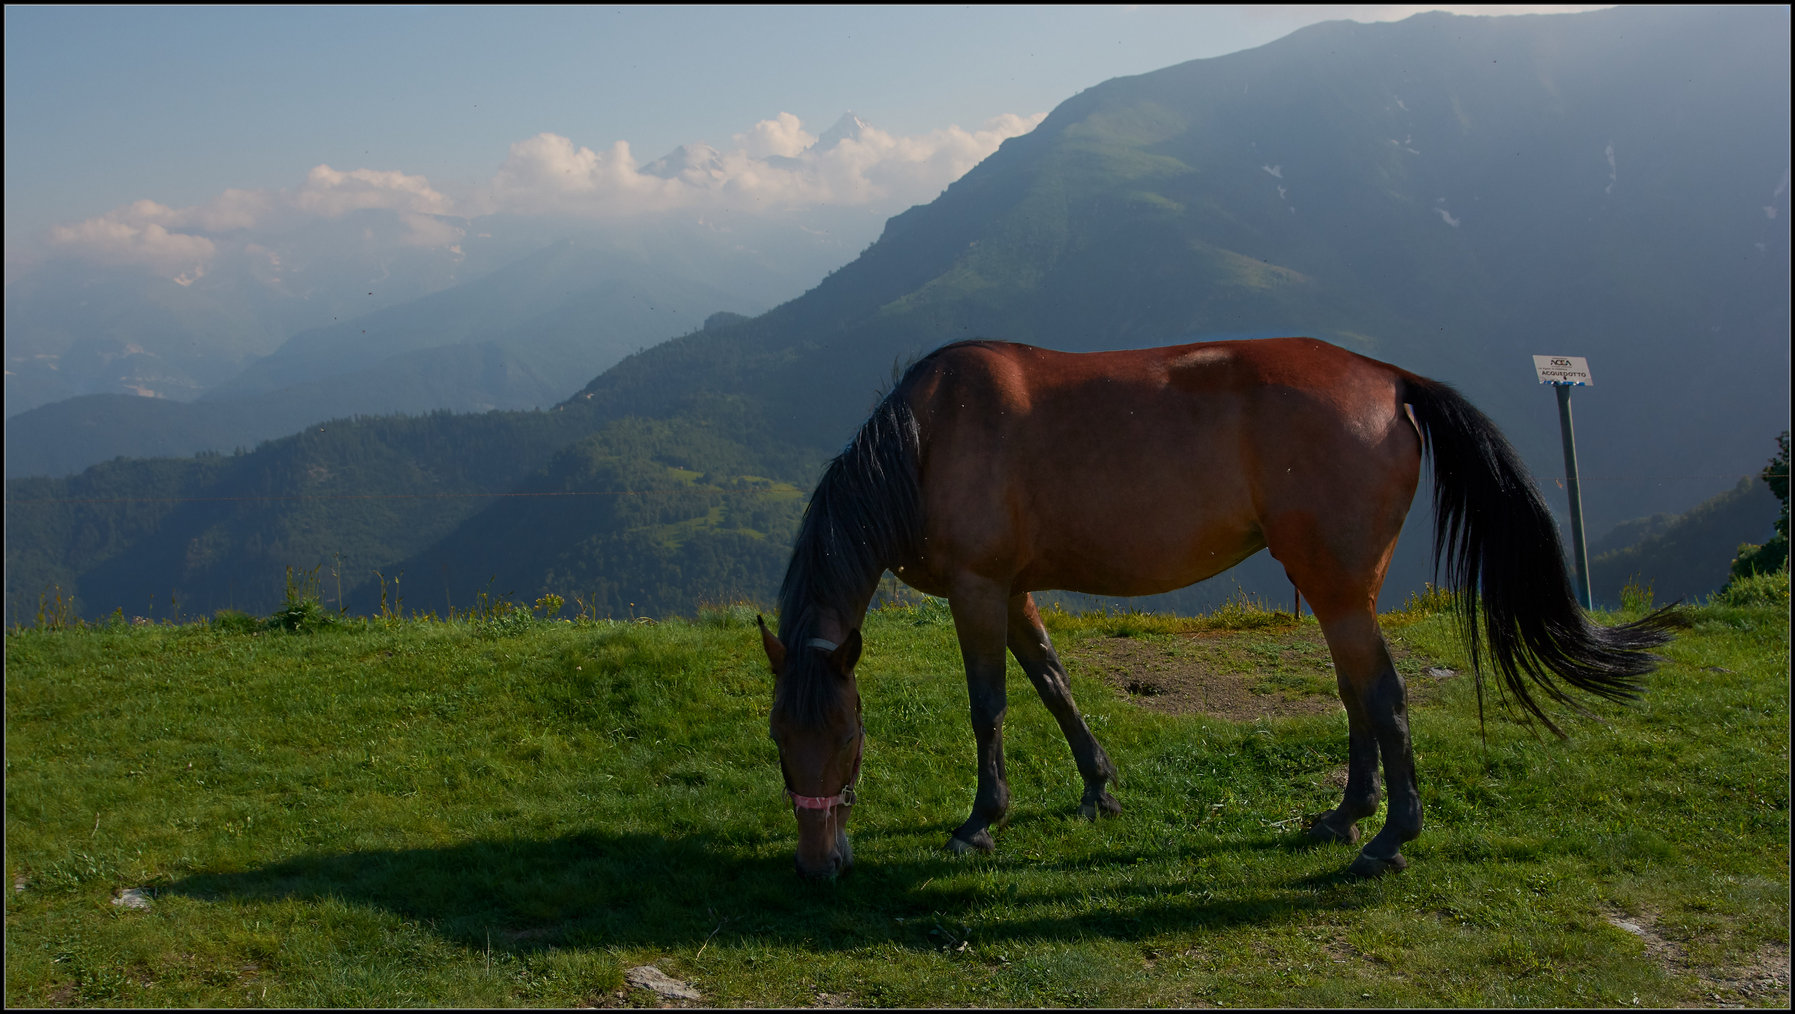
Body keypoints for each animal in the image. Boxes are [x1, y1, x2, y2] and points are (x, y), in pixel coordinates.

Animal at [757, 337, 1680, 879]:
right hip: (1338, 590)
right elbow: (1053, 683)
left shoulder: (979, 590)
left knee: (1383, 696)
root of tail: (1389, 381)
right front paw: (1097, 788)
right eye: (778, 741)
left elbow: (989, 707)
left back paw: (1389, 837)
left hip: (1336, 589)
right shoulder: (1013, 590)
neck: (927, 440)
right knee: (1355, 695)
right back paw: (1346, 815)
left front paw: (981, 820)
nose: (817, 864)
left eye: (847, 735)